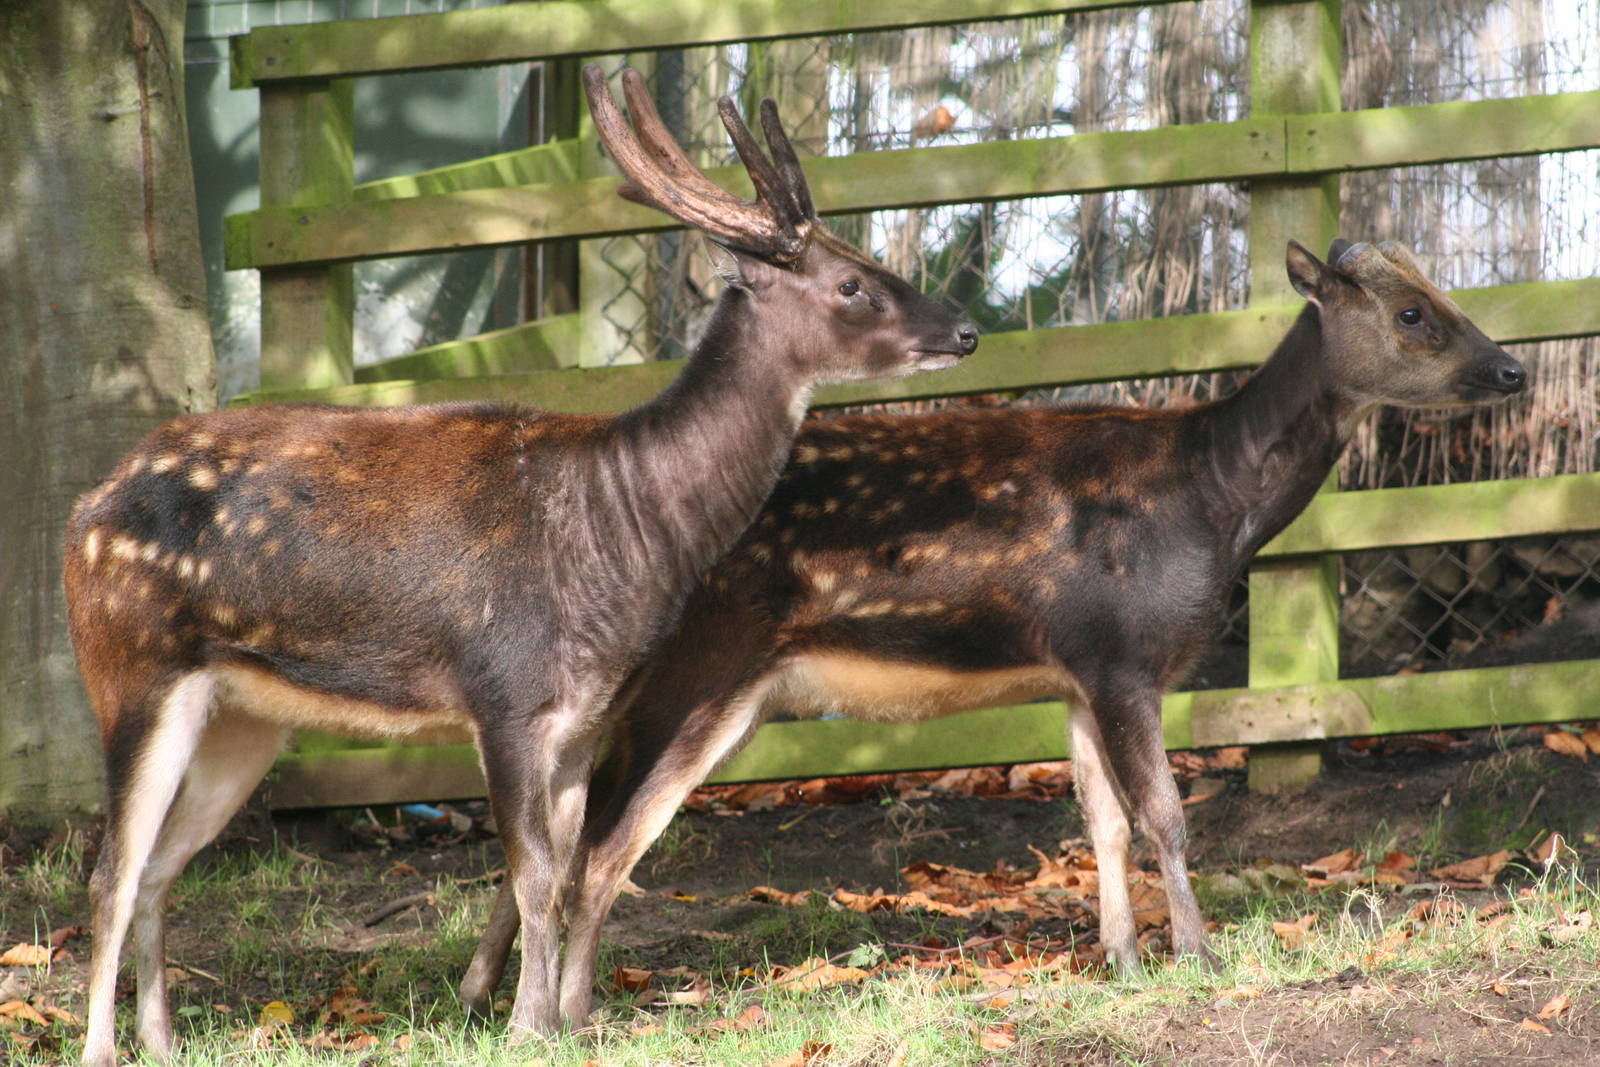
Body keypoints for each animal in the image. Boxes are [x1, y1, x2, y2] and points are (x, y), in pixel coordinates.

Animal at [63, 64, 977, 1067]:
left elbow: (567, 870)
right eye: (852, 282)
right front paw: (527, 1025)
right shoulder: (503, 690)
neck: (623, 530)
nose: (966, 330)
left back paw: (162, 1039)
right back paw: (102, 1046)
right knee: (111, 869)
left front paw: (558, 1018)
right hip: (133, 670)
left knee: (162, 866)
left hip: (243, 714)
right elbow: (534, 872)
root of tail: (81, 514)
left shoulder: (582, 719)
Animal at [459, 238, 1527, 1026]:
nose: (1513, 367)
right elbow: (1166, 814)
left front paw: (1123, 958)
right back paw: (570, 1014)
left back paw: (487, 993)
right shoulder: (1127, 652)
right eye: (1412, 312)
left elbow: (1101, 820)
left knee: (563, 830)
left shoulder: (1079, 669)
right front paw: (1200, 953)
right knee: (602, 847)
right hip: (706, 671)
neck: (1210, 500)